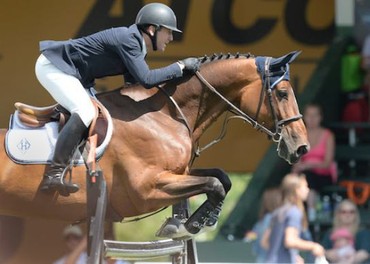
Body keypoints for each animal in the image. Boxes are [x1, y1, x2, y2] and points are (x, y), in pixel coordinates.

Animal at [0, 50, 308, 238]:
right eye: (282, 93)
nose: (301, 147)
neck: (164, 113)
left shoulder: (177, 174)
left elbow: (222, 178)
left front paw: (193, 221)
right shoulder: (147, 189)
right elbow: (215, 184)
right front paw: (186, 226)